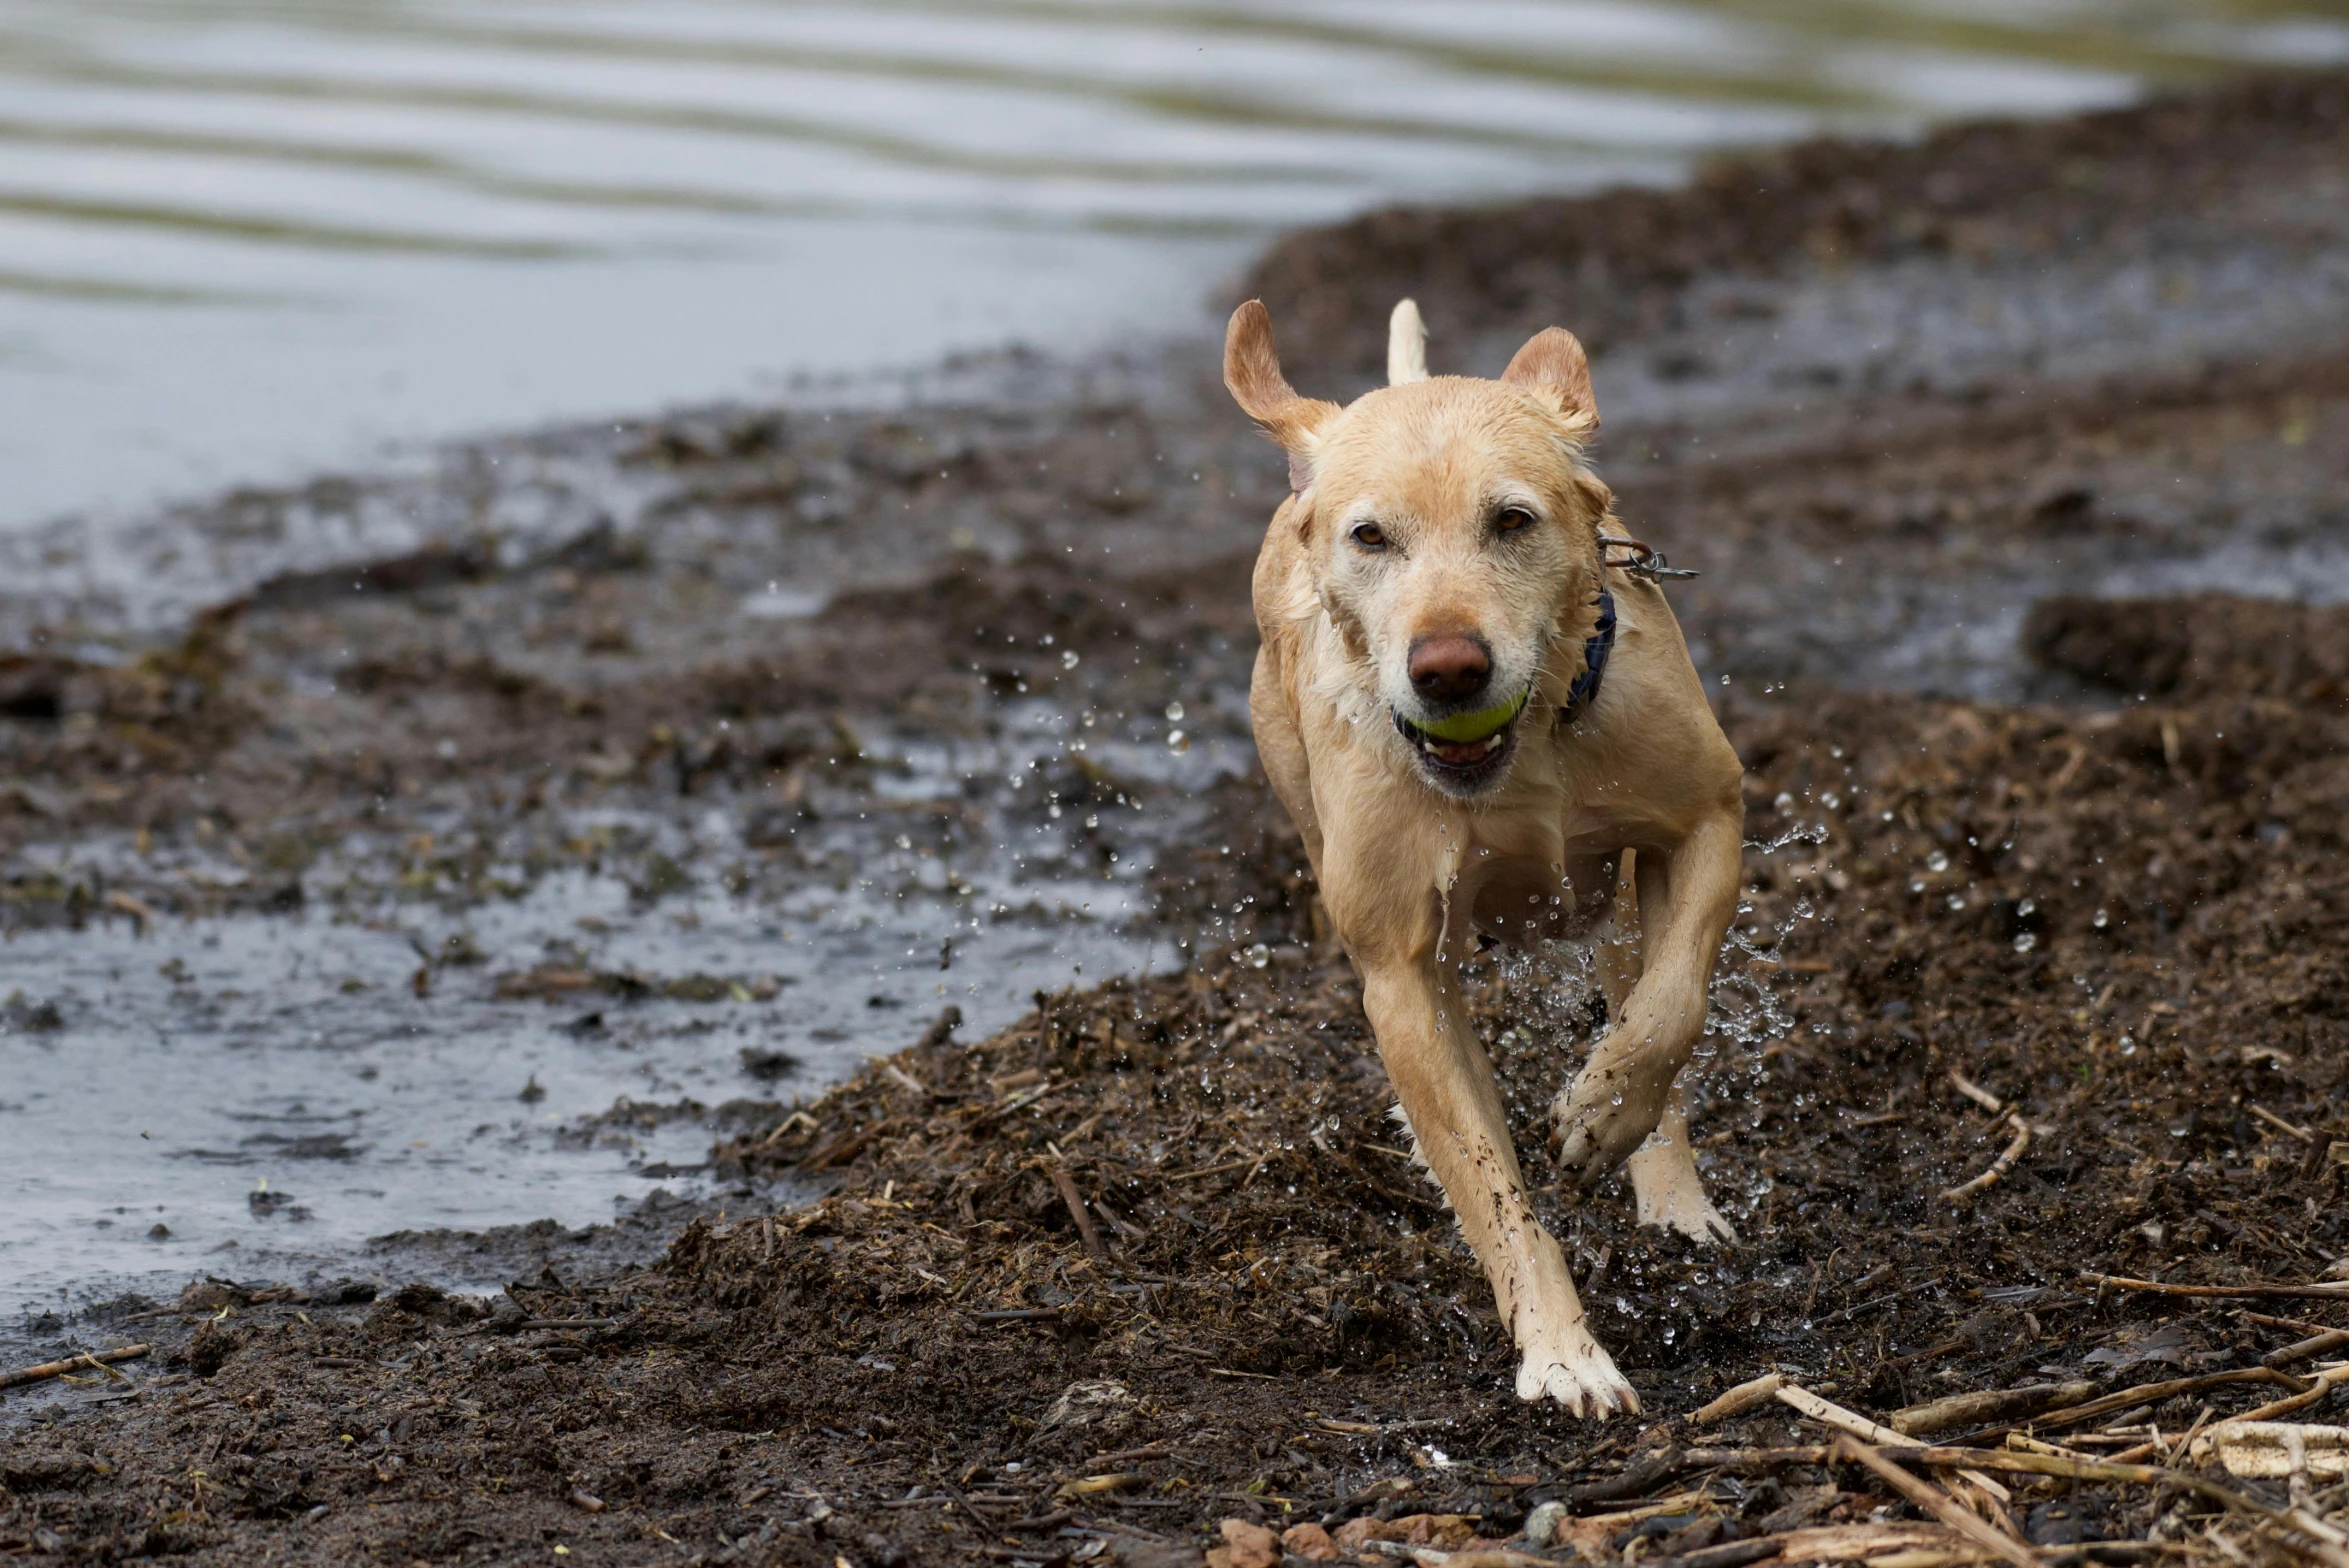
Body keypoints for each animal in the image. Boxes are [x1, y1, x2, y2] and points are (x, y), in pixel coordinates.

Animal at [1230, 296, 1747, 1417]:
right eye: (1370, 536)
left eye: (1511, 520)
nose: (1449, 667)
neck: (1522, 758)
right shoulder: (1397, 979)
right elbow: (1490, 1185)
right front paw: (1560, 1350)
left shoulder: (1707, 817)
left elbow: (1672, 1007)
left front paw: (1601, 1110)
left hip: (1619, 898)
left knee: (1638, 988)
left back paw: (1668, 1193)